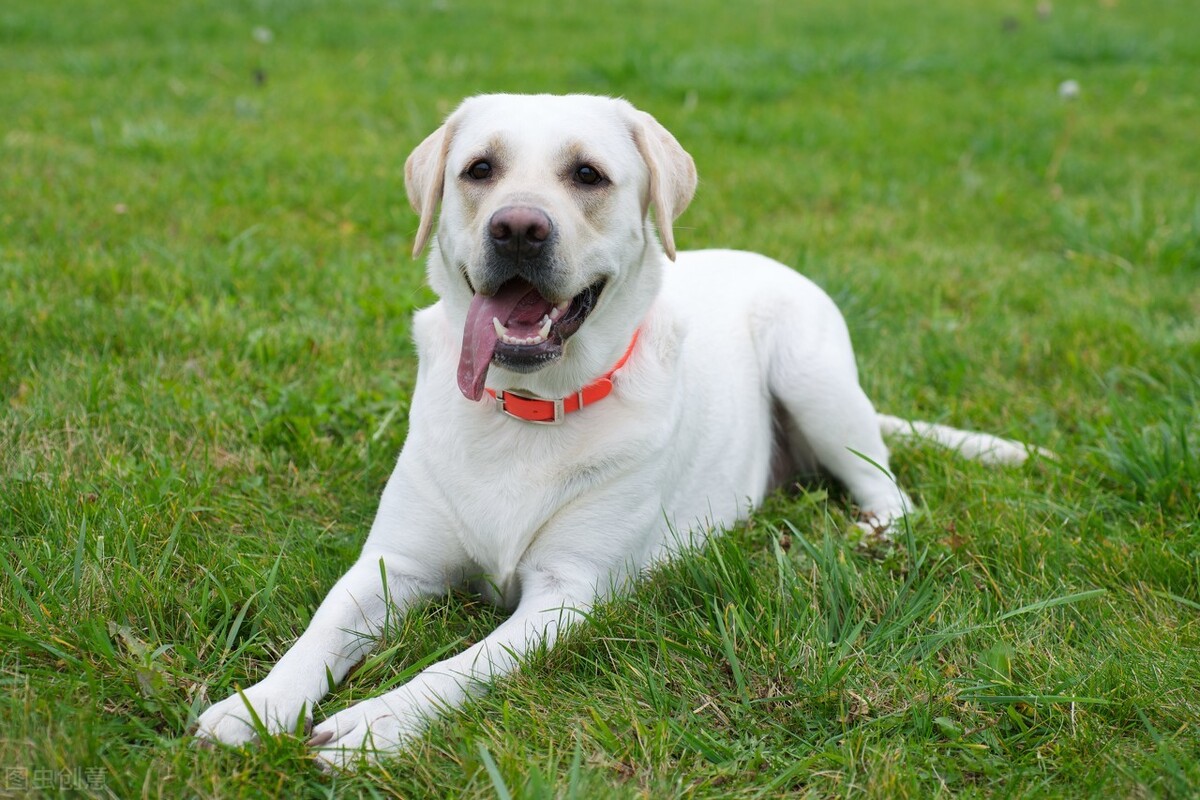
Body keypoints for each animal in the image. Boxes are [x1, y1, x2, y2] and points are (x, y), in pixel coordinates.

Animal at [192, 94, 1036, 767]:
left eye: (588, 175)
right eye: (479, 169)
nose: (518, 228)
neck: (526, 407)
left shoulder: (565, 595)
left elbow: (456, 668)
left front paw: (373, 725)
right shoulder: (393, 564)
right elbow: (319, 629)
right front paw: (256, 705)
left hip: (814, 373)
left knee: (887, 485)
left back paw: (874, 534)